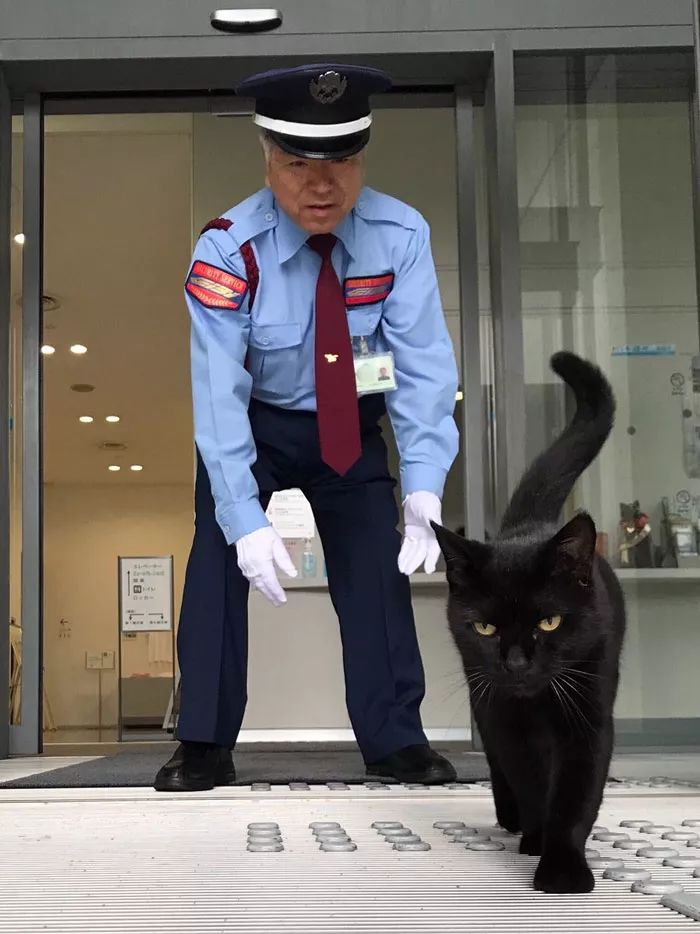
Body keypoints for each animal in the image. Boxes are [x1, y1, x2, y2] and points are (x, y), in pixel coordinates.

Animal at [434, 354, 628, 896]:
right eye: (484, 628)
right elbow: (530, 778)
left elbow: (577, 793)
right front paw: (539, 838)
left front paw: (563, 867)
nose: (517, 663)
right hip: (479, 689)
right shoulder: (505, 717)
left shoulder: (589, 715)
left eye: (550, 620)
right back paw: (513, 818)